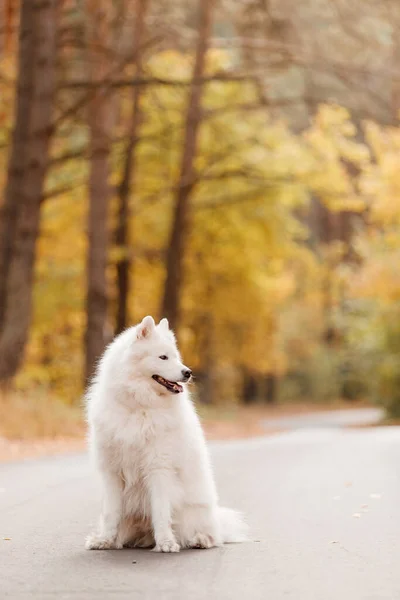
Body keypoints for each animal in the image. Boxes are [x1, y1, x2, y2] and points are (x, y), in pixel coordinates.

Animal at [86, 316, 245, 552]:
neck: (139, 405)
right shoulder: (112, 471)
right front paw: (104, 540)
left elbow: (161, 512)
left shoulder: (159, 468)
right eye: (163, 357)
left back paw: (200, 539)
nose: (188, 372)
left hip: (196, 511)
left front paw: (166, 543)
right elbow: (110, 513)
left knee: (212, 535)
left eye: (176, 357)